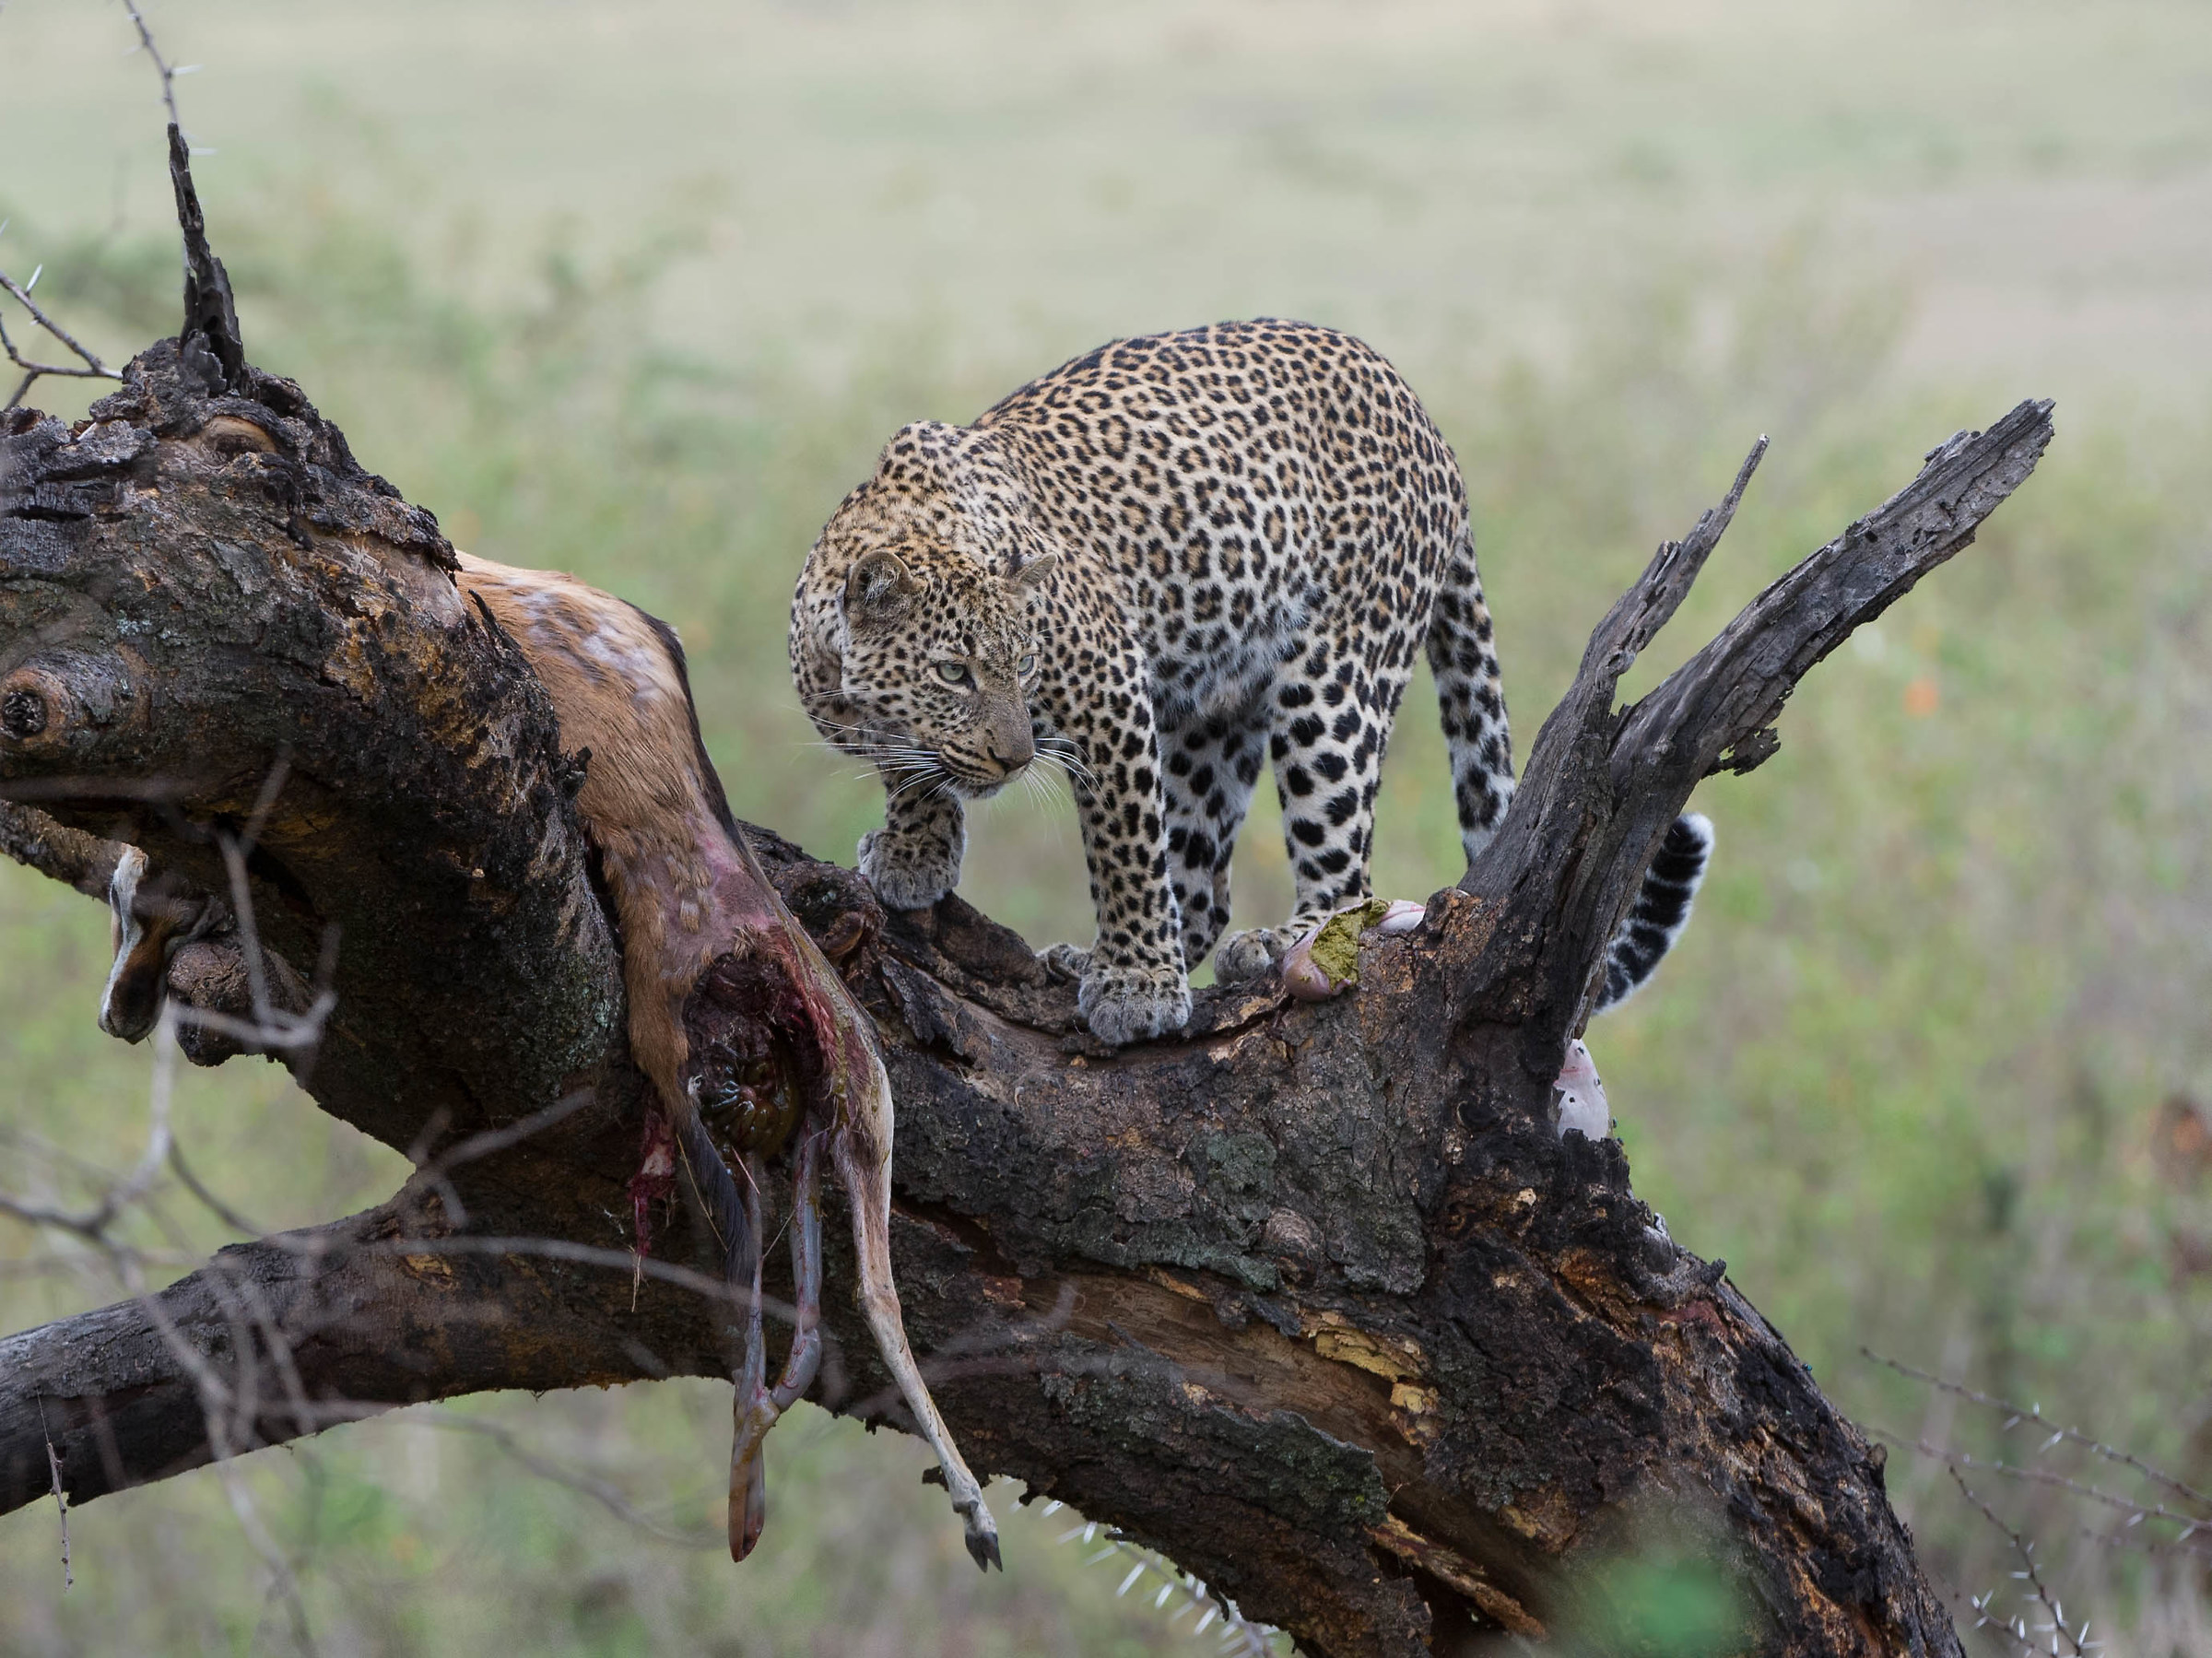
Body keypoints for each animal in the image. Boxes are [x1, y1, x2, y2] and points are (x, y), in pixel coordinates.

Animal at [789, 318, 1710, 1045]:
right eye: (954, 671)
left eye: (1025, 664)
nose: (1015, 759)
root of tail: (1429, 421)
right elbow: (915, 772)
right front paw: (912, 850)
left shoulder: (1108, 687)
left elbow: (1125, 844)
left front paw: (1139, 989)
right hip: (1212, 708)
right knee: (1201, 881)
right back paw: (1102, 954)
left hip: (1331, 688)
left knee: (1346, 877)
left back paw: (1279, 943)